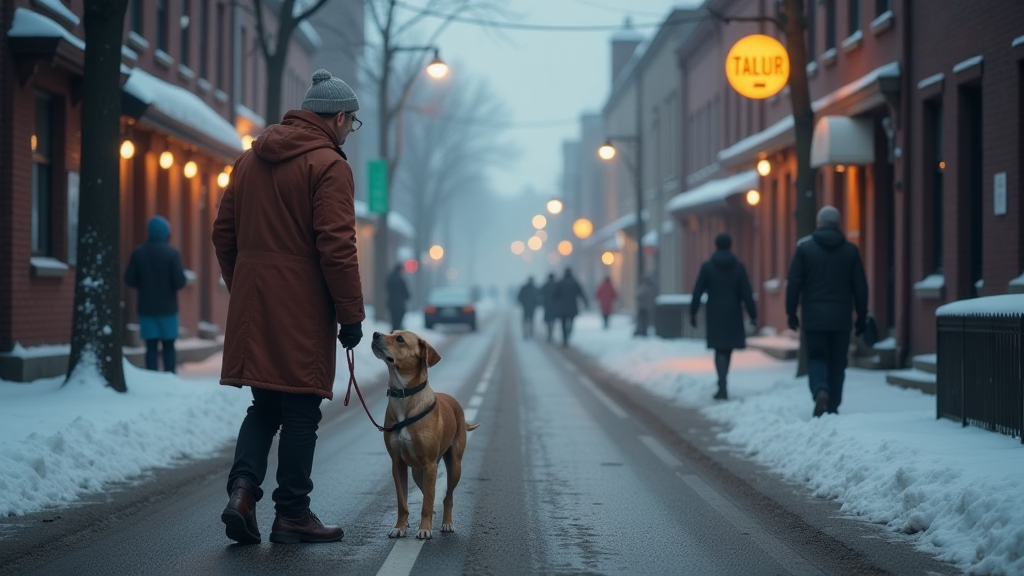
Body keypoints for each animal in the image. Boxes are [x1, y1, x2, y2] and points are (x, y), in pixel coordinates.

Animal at [368, 330, 479, 537]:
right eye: (391, 332)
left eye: (400, 339)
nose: (375, 333)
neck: (405, 397)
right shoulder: (398, 464)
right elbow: (402, 502)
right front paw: (400, 527)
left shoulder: (430, 464)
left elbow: (428, 501)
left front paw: (425, 529)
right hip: (417, 472)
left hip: (454, 466)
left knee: (446, 496)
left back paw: (447, 523)